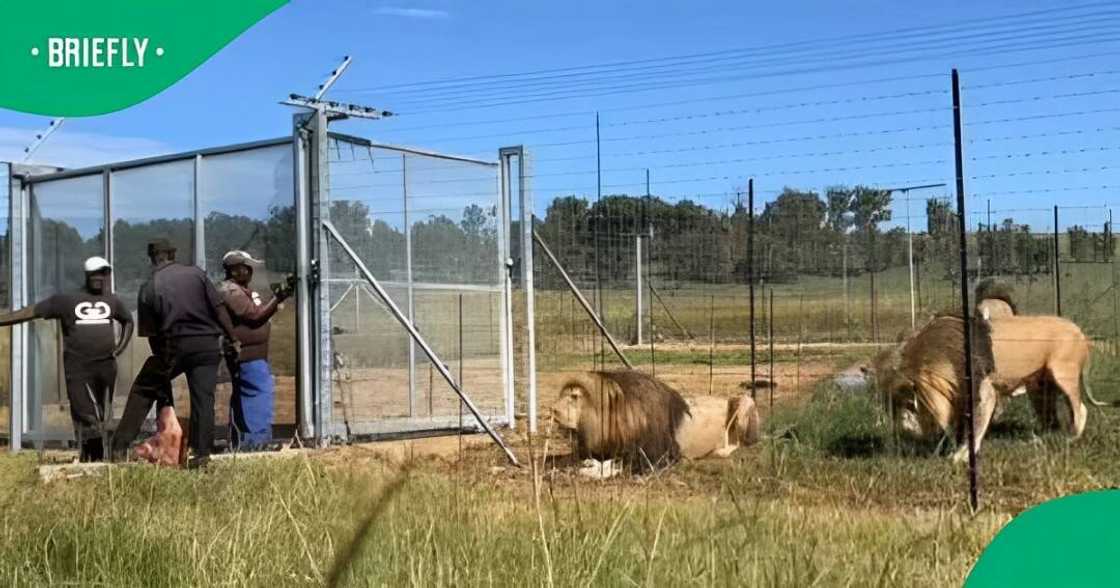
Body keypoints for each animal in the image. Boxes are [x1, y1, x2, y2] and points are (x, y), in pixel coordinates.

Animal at [544, 369, 757, 479]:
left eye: (574, 396)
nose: (552, 410)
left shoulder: (658, 458)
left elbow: (612, 467)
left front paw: (589, 470)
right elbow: (561, 459)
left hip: (744, 400)